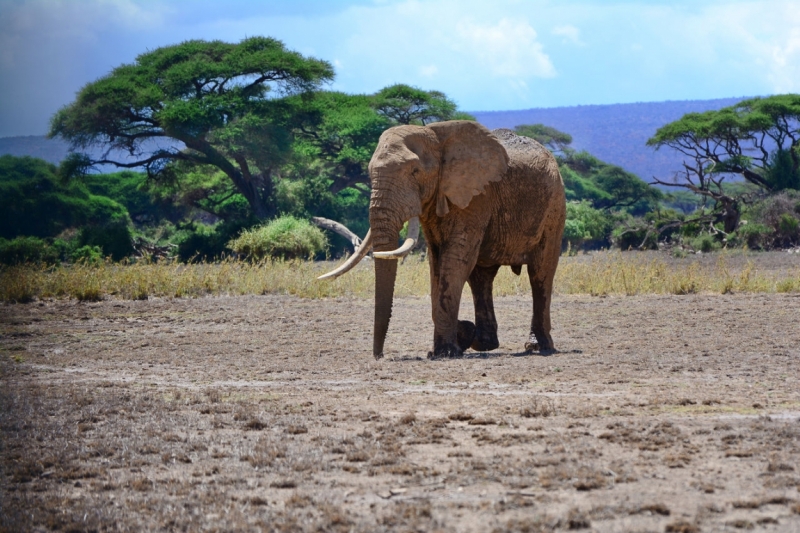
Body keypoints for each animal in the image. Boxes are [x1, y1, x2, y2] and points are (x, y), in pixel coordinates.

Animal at [316, 118, 564, 356]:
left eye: (415, 171)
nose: (379, 355)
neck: (434, 135)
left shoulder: (477, 197)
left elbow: (454, 260)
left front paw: (446, 350)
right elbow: (437, 262)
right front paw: (449, 343)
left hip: (554, 206)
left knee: (540, 273)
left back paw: (538, 347)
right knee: (481, 278)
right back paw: (483, 344)